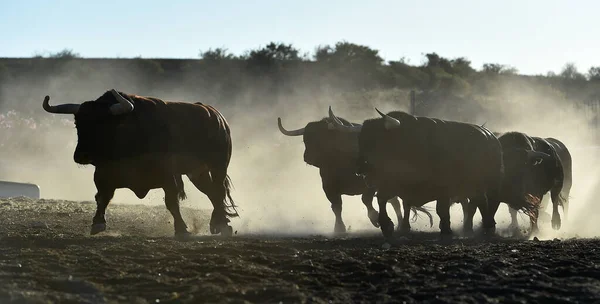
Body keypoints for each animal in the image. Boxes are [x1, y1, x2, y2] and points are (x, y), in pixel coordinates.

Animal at [42, 89, 238, 239]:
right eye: (78, 124)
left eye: (102, 124)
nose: (81, 156)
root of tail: (217, 116)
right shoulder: (103, 174)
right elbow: (102, 197)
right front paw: (97, 223)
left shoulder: (168, 176)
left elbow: (171, 202)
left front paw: (181, 229)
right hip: (197, 173)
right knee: (212, 193)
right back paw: (220, 223)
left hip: (218, 166)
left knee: (218, 191)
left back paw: (221, 225)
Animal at [276, 113, 432, 234]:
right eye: (305, 139)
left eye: (322, 137)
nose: (307, 157)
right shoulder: (329, 187)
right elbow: (336, 206)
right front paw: (339, 228)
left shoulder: (370, 183)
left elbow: (366, 200)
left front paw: (375, 218)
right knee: (394, 202)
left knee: (395, 203)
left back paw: (399, 225)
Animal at [328, 108, 544, 239]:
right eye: (361, 140)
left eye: (377, 140)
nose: (360, 169)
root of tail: (491, 137)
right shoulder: (393, 185)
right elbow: (386, 201)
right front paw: (388, 225)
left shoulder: (443, 188)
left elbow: (442, 209)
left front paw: (446, 229)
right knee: (479, 202)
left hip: (489, 183)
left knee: (487, 203)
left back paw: (488, 226)